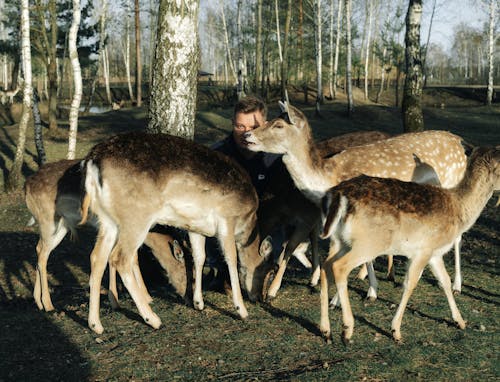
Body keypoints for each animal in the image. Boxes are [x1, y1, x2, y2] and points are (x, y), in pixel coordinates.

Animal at [24, 160, 190, 312]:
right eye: (185, 273)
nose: (188, 299)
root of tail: (26, 186)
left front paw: (118, 299)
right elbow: (130, 258)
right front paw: (144, 297)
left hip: (61, 225)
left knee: (39, 249)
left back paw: (38, 301)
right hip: (49, 221)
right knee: (43, 255)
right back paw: (48, 305)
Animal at [80, 132, 274, 334]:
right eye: (270, 271)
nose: (259, 298)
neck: (246, 222)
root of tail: (92, 160)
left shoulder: (195, 227)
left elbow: (200, 257)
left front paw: (198, 303)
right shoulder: (227, 220)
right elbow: (231, 260)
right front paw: (241, 310)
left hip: (107, 220)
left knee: (97, 257)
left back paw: (96, 324)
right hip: (136, 217)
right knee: (120, 258)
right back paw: (153, 319)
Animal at [244, 100, 470, 296]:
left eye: (278, 125)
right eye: (269, 120)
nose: (247, 135)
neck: (328, 176)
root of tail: (461, 142)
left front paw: (367, 291)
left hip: (453, 182)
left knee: (459, 233)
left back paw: (456, 284)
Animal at [318, 146, 498, 344]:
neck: (459, 210)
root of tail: (338, 196)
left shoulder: (435, 253)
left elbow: (444, 281)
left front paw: (460, 321)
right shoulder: (423, 250)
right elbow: (410, 283)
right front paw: (396, 331)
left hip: (338, 240)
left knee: (325, 265)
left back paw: (326, 331)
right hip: (369, 243)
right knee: (339, 267)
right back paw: (347, 330)